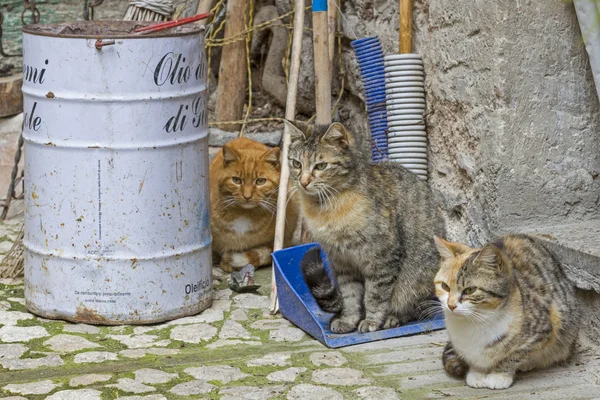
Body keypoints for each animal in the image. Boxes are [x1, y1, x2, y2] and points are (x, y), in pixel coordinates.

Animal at [211, 137, 300, 272]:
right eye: (236, 180)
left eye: (260, 181)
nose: (247, 196)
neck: (243, 214)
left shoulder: (282, 240)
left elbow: (262, 255)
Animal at [288, 120, 448, 332]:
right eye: (296, 164)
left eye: (321, 166)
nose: (303, 182)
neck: (325, 209)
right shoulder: (342, 262)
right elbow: (350, 296)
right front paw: (349, 320)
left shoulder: (382, 257)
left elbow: (375, 295)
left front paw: (372, 321)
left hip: (416, 281)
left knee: (412, 306)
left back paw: (393, 317)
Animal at [436, 236, 580, 390]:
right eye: (444, 286)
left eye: (470, 290)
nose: (451, 305)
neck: (473, 322)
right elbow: (475, 357)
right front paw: (477, 372)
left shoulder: (546, 327)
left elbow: (514, 355)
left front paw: (499, 375)